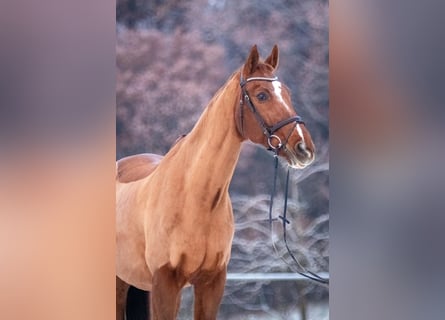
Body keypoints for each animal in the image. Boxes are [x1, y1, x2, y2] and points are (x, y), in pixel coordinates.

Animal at [116, 45, 314, 320]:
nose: (304, 148)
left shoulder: (212, 282)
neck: (194, 197)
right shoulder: (165, 283)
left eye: (287, 93)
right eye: (262, 95)